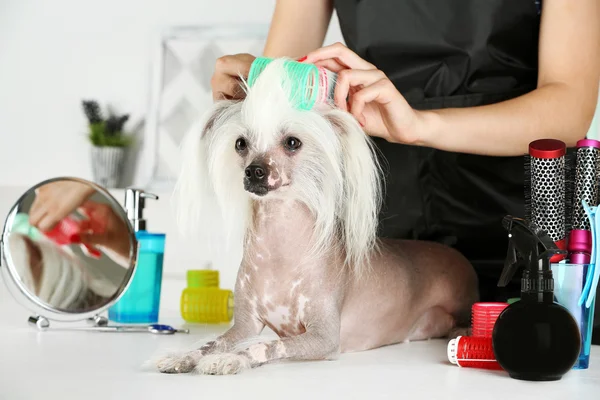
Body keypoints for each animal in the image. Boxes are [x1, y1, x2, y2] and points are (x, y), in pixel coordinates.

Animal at [157, 58, 480, 376]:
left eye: (292, 142)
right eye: (240, 144)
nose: (254, 171)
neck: (278, 253)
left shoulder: (324, 337)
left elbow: (263, 345)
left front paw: (230, 359)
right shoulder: (245, 324)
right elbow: (212, 342)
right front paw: (183, 356)